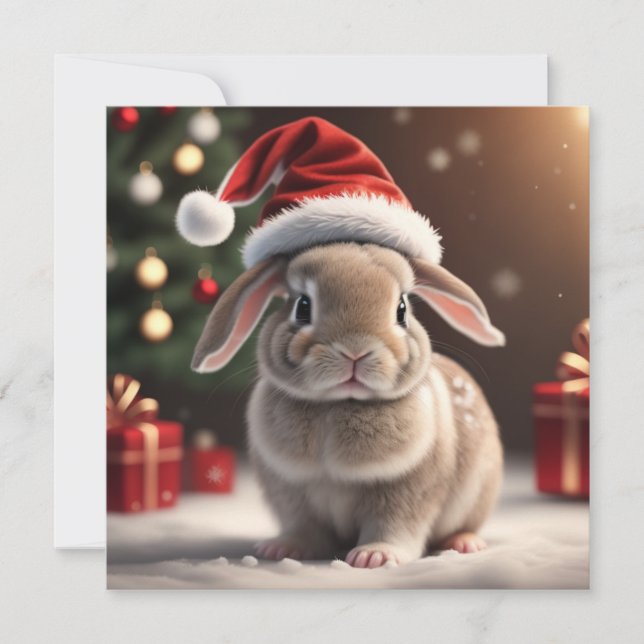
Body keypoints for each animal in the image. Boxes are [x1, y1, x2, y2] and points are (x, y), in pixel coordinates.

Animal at [191, 242, 504, 567]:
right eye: (303, 306)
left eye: (402, 310)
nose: (355, 350)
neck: (336, 404)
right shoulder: (292, 496)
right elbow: (304, 528)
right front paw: (282, 549)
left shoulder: (407, 493)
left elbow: (395, 527)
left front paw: (375, 556)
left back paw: (464, 543)